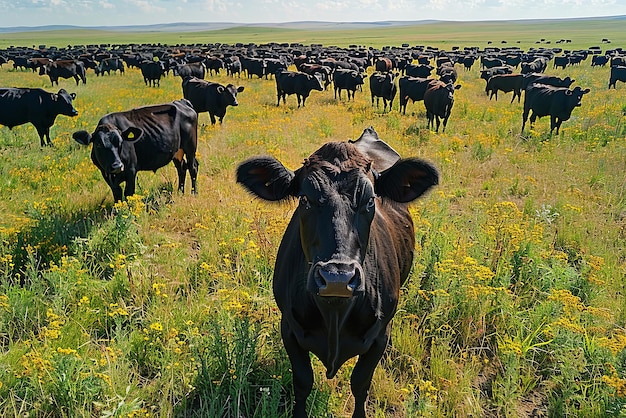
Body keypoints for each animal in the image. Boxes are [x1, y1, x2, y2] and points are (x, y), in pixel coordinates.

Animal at [235, 125, 438, 418]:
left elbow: (360, 384)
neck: (334, 313)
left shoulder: (379, 337)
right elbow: (303, 381)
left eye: (370, 200)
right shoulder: (289, 329)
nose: (337, 278)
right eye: (304, 199)